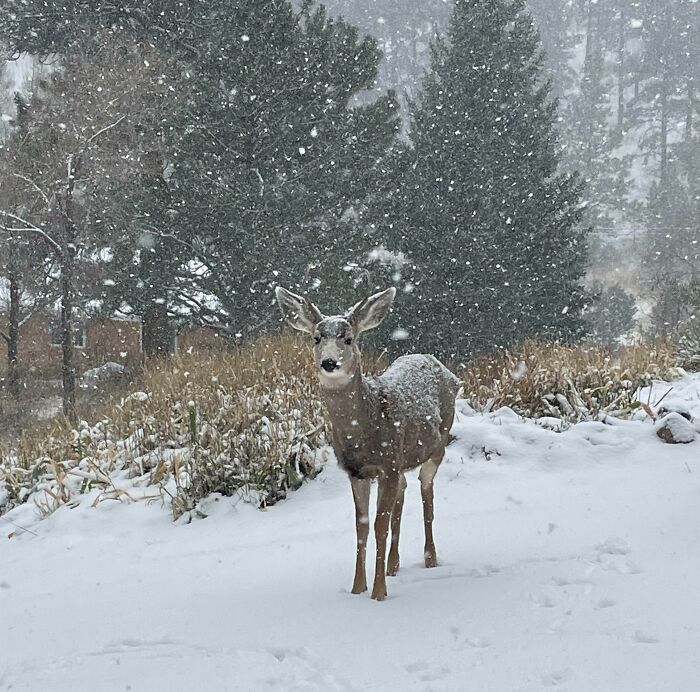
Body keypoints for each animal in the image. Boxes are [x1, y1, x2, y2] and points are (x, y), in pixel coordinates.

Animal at [276, 286, 460, 600]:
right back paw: (393, 565)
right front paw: (356, 588)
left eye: (348, 338)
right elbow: (361, 526)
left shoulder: (387, 464)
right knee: (404, 491)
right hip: (402, 462)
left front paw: (378, 593)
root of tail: (437, 363)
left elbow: (379, 525)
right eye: (316, 338)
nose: (329, 362)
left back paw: (430, 558)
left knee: (427, 492)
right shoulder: (358, 472)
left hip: (439, 443)